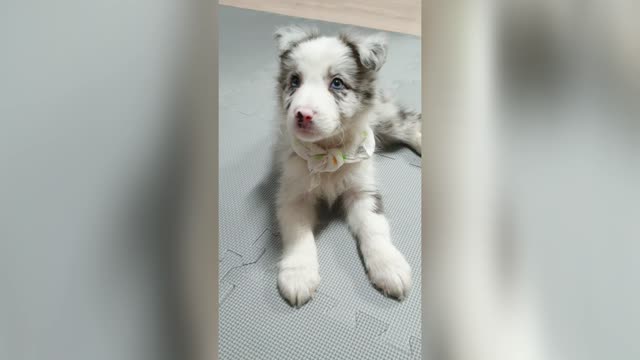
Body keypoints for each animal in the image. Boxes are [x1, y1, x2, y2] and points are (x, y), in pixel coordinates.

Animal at [272, 25, 422, 306]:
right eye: (295, 81)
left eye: (337, 83)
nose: (302, 115)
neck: (328, 152)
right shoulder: (293, 194)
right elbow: (297, 234)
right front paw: (298, 274)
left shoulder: (363, 190)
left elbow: (375, 227)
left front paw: (389, 266)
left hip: (384, 117)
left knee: (410, 122)